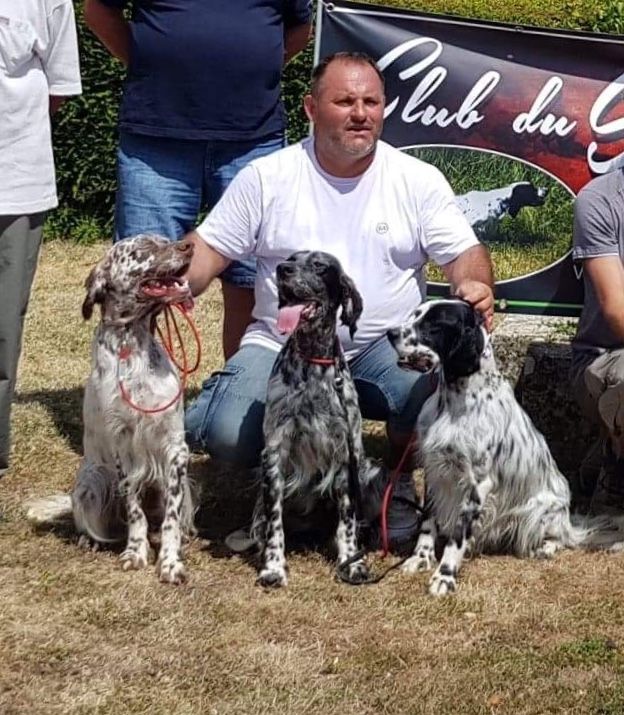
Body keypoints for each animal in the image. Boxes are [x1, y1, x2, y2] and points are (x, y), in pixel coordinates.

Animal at [25, 238, 196, 584]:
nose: (188, 245)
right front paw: (135, 553)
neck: (132, 345)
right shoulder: (122, 449)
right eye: (144, 247)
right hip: (91, 481)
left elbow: (170, 519)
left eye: (164, 240)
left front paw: (170, 563)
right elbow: (134, 511)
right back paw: (89, 540)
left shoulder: (175, 449)